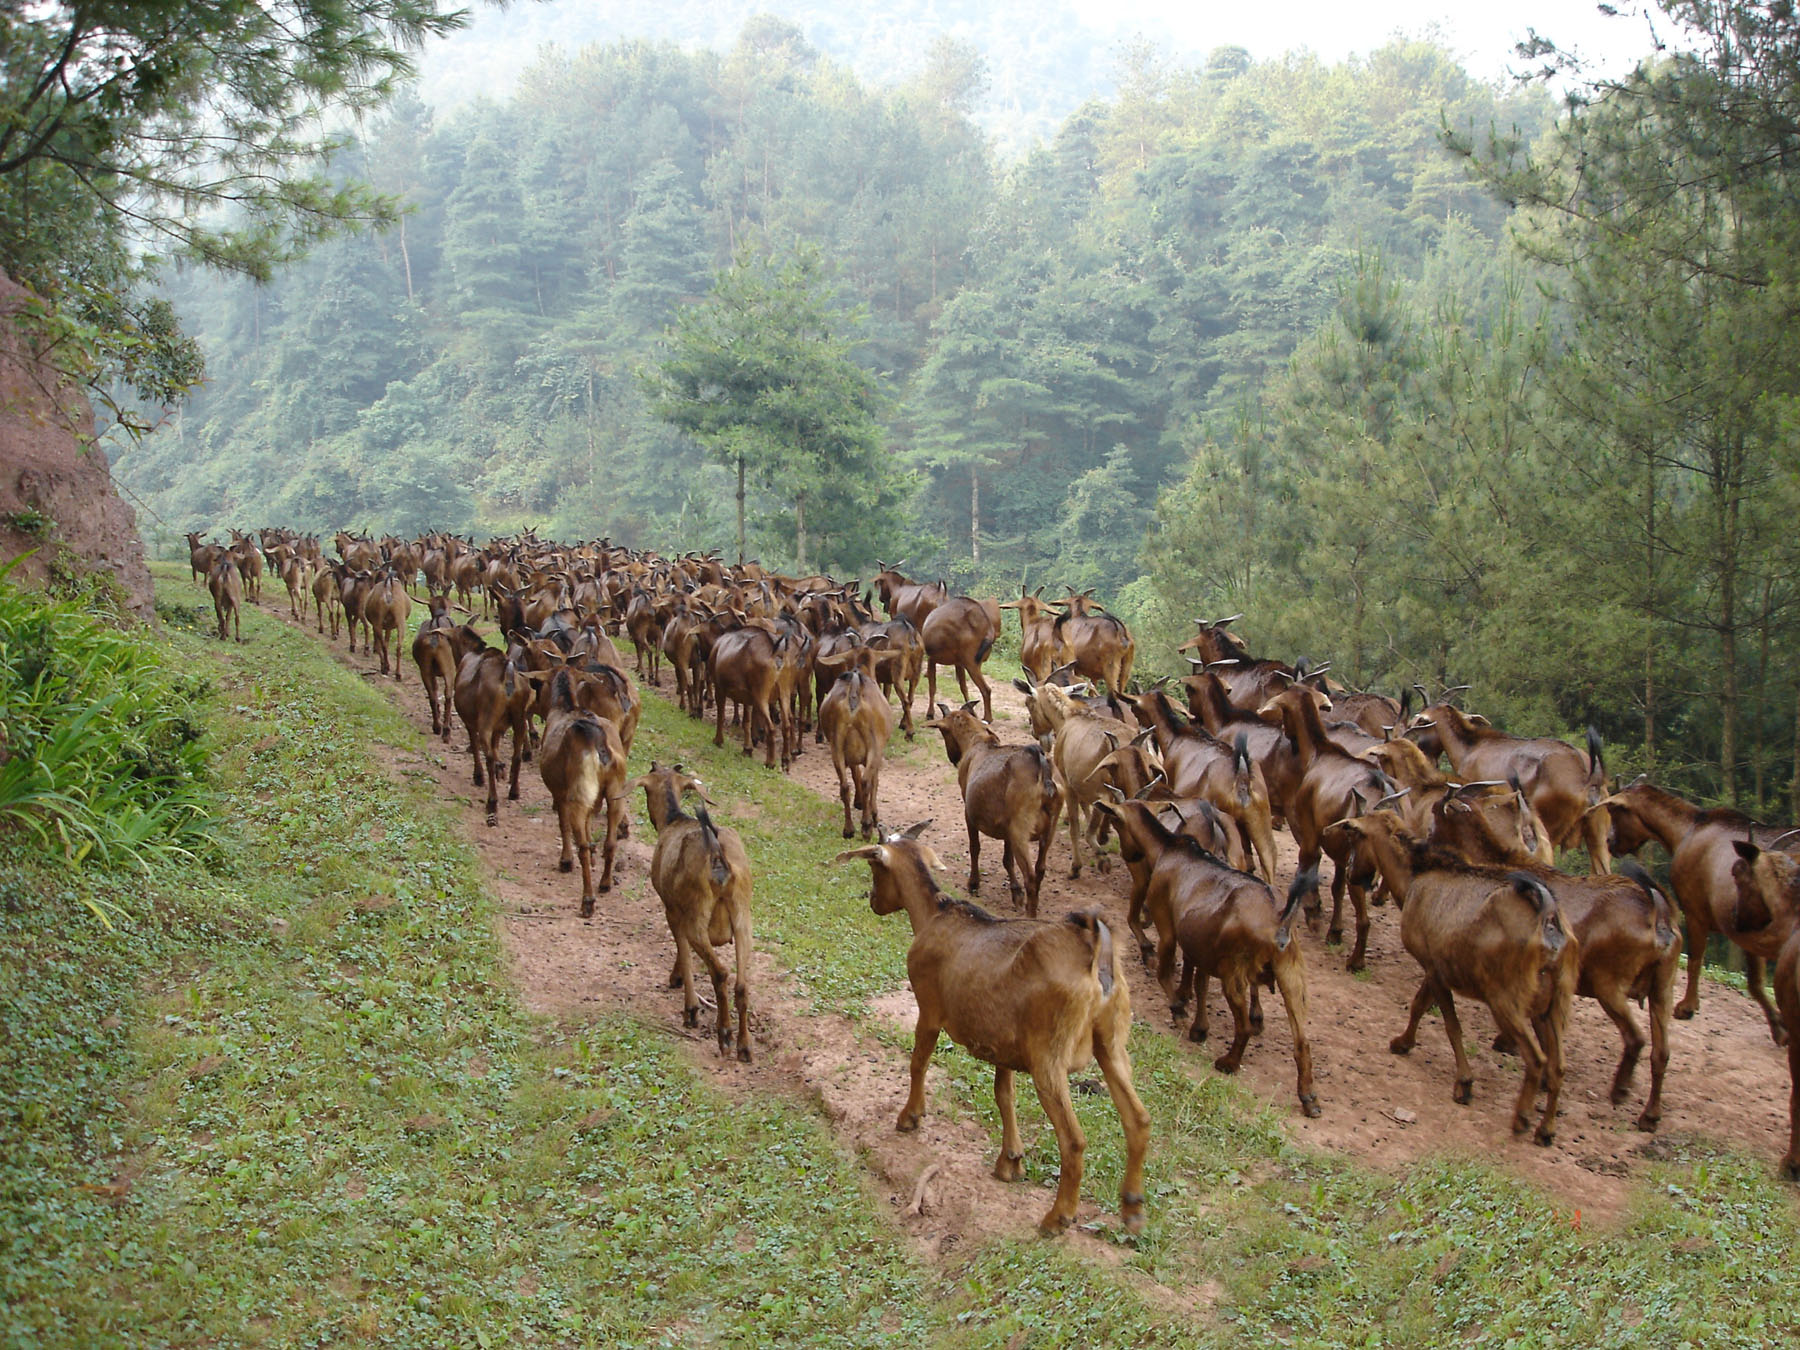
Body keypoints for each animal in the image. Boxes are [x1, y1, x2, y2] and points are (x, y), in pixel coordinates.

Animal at [536, 669, 630, 914]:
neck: (566, 707)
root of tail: (600, 745)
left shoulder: (560, 793)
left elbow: (563, 824)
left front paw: (565, 861)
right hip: (615, 791)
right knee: (611, 840)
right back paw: (605, 883)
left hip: (577, 794)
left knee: (582, 846)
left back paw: (588, 900)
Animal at [640, 766, 752, 1065]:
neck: (674, 820)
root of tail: (718, 858)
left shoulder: (672, 910)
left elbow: (682, 949)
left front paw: (689, 1008)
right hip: (743, 919)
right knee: (741, 984)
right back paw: (744, 1047)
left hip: (697, 917)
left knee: (720, 972)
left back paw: (724, 1036)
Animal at [831, 824, 1144, 1238]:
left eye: (874, 869)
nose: (872, 902)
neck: (935, 914)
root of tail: (1093, 947)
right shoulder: (1004, 1043)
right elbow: (1003, 1094)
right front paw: (1010, 1160)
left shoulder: (929, 1009)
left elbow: (918, 1062)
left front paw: (909, 1117)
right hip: (1111, 1042)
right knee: (1138, 1119)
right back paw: (1133, 1209)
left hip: (1050, 1057)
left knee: (1074, 1139)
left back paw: (1057, 1217)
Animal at [921, 709, 1058, 921]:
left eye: (944, 732)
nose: (952, 758)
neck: (979, 742)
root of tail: (1040, 767)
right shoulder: (1007, 828)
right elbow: (1007, 860)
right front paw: (1016, 894)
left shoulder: (969, 813)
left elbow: (975, 847)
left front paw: (973, 884)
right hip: (1048, 829)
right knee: (1040, 869)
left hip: (1021, 832)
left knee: (1030, 877)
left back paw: (1029, 916)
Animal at [1324, 810, 1576, 1144]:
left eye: (1354, 836)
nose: (1353, 875)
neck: (1418, 876)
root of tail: (1548, 922)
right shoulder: (1435, 967)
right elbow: (1421, 1006)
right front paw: (1403, 1043)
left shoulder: (1435, 970)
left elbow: (1448, 1024)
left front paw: (1463, 1084)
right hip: (1554, 1006)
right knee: (1558, 1066)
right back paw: (1545, 1130)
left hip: (1506, 1000)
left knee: (1537, 1059)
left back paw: (1521, 1119)